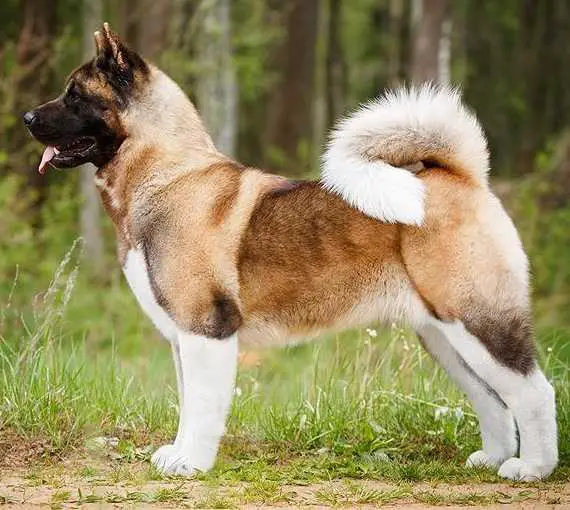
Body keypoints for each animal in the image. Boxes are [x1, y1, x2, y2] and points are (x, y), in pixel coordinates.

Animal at [24, 23, 557, 481]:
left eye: (75, 95)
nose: (27, 117)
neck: (167, 174)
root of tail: (463, 176)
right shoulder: (183, 338)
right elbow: (187, 403)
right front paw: (177, 454)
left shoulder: (207, 330)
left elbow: (202, 407)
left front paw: (191, 463)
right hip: (444, 337)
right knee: (491, 399)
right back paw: (492, 458)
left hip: (478, 321)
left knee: (534, 393)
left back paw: (533, 468)